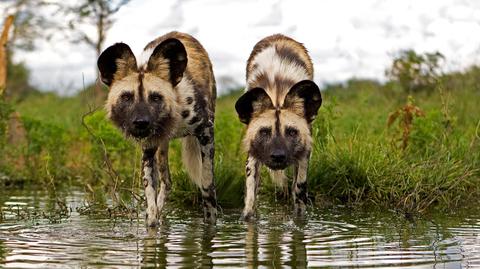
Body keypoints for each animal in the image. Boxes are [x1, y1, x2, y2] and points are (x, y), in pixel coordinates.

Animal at [97, 31, 218, 226]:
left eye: (155, 97)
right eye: (126, 97)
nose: (141, 122)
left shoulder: (206, 132)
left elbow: (207, 185)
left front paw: (211, 226)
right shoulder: (148, 146)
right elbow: (150, 197)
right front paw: (152, 223)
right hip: (160, 146)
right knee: (166, 182)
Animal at [235, 34, 322, 218]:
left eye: (291, 132)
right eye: (264, 132)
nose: (278, 156)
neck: (277, 95)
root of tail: (278, 35)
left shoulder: (304, 154)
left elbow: (299, 193)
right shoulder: (253, 155)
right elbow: (250, 199)